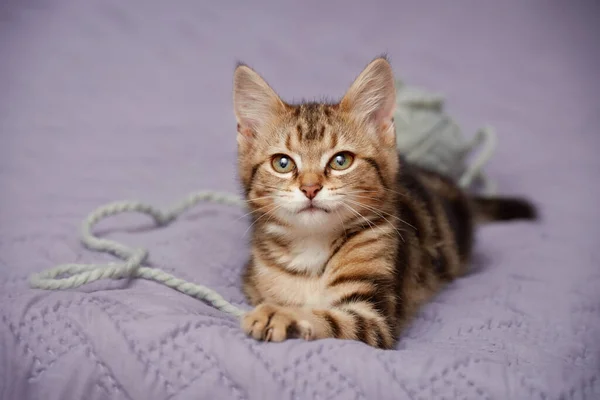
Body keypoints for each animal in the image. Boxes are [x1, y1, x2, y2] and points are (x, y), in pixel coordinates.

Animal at [232, 57, 536, 350]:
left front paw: (281, 313)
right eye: (282, 163)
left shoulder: (373, 318)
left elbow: (328, 317)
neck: (311, 247)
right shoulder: (252, 283)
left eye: (341, 160)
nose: (310, 188)